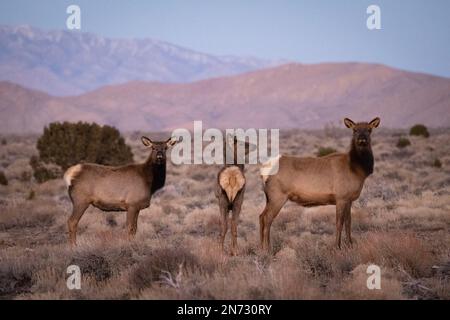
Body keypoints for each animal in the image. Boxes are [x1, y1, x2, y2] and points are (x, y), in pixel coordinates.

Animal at [260, 116, 380, 251]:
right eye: (355, 130)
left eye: (369, 130)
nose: (362, 140)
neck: (357, 170)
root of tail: (265, 170)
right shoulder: (341, 197)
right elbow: (339, 223)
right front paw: (337, 247)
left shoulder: (349, 199)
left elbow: (348, 223)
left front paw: (350, 245)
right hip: (278, 196)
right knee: (267, 218)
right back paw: (267, 249)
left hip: (270, 198)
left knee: (261, 216)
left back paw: (261, 248)